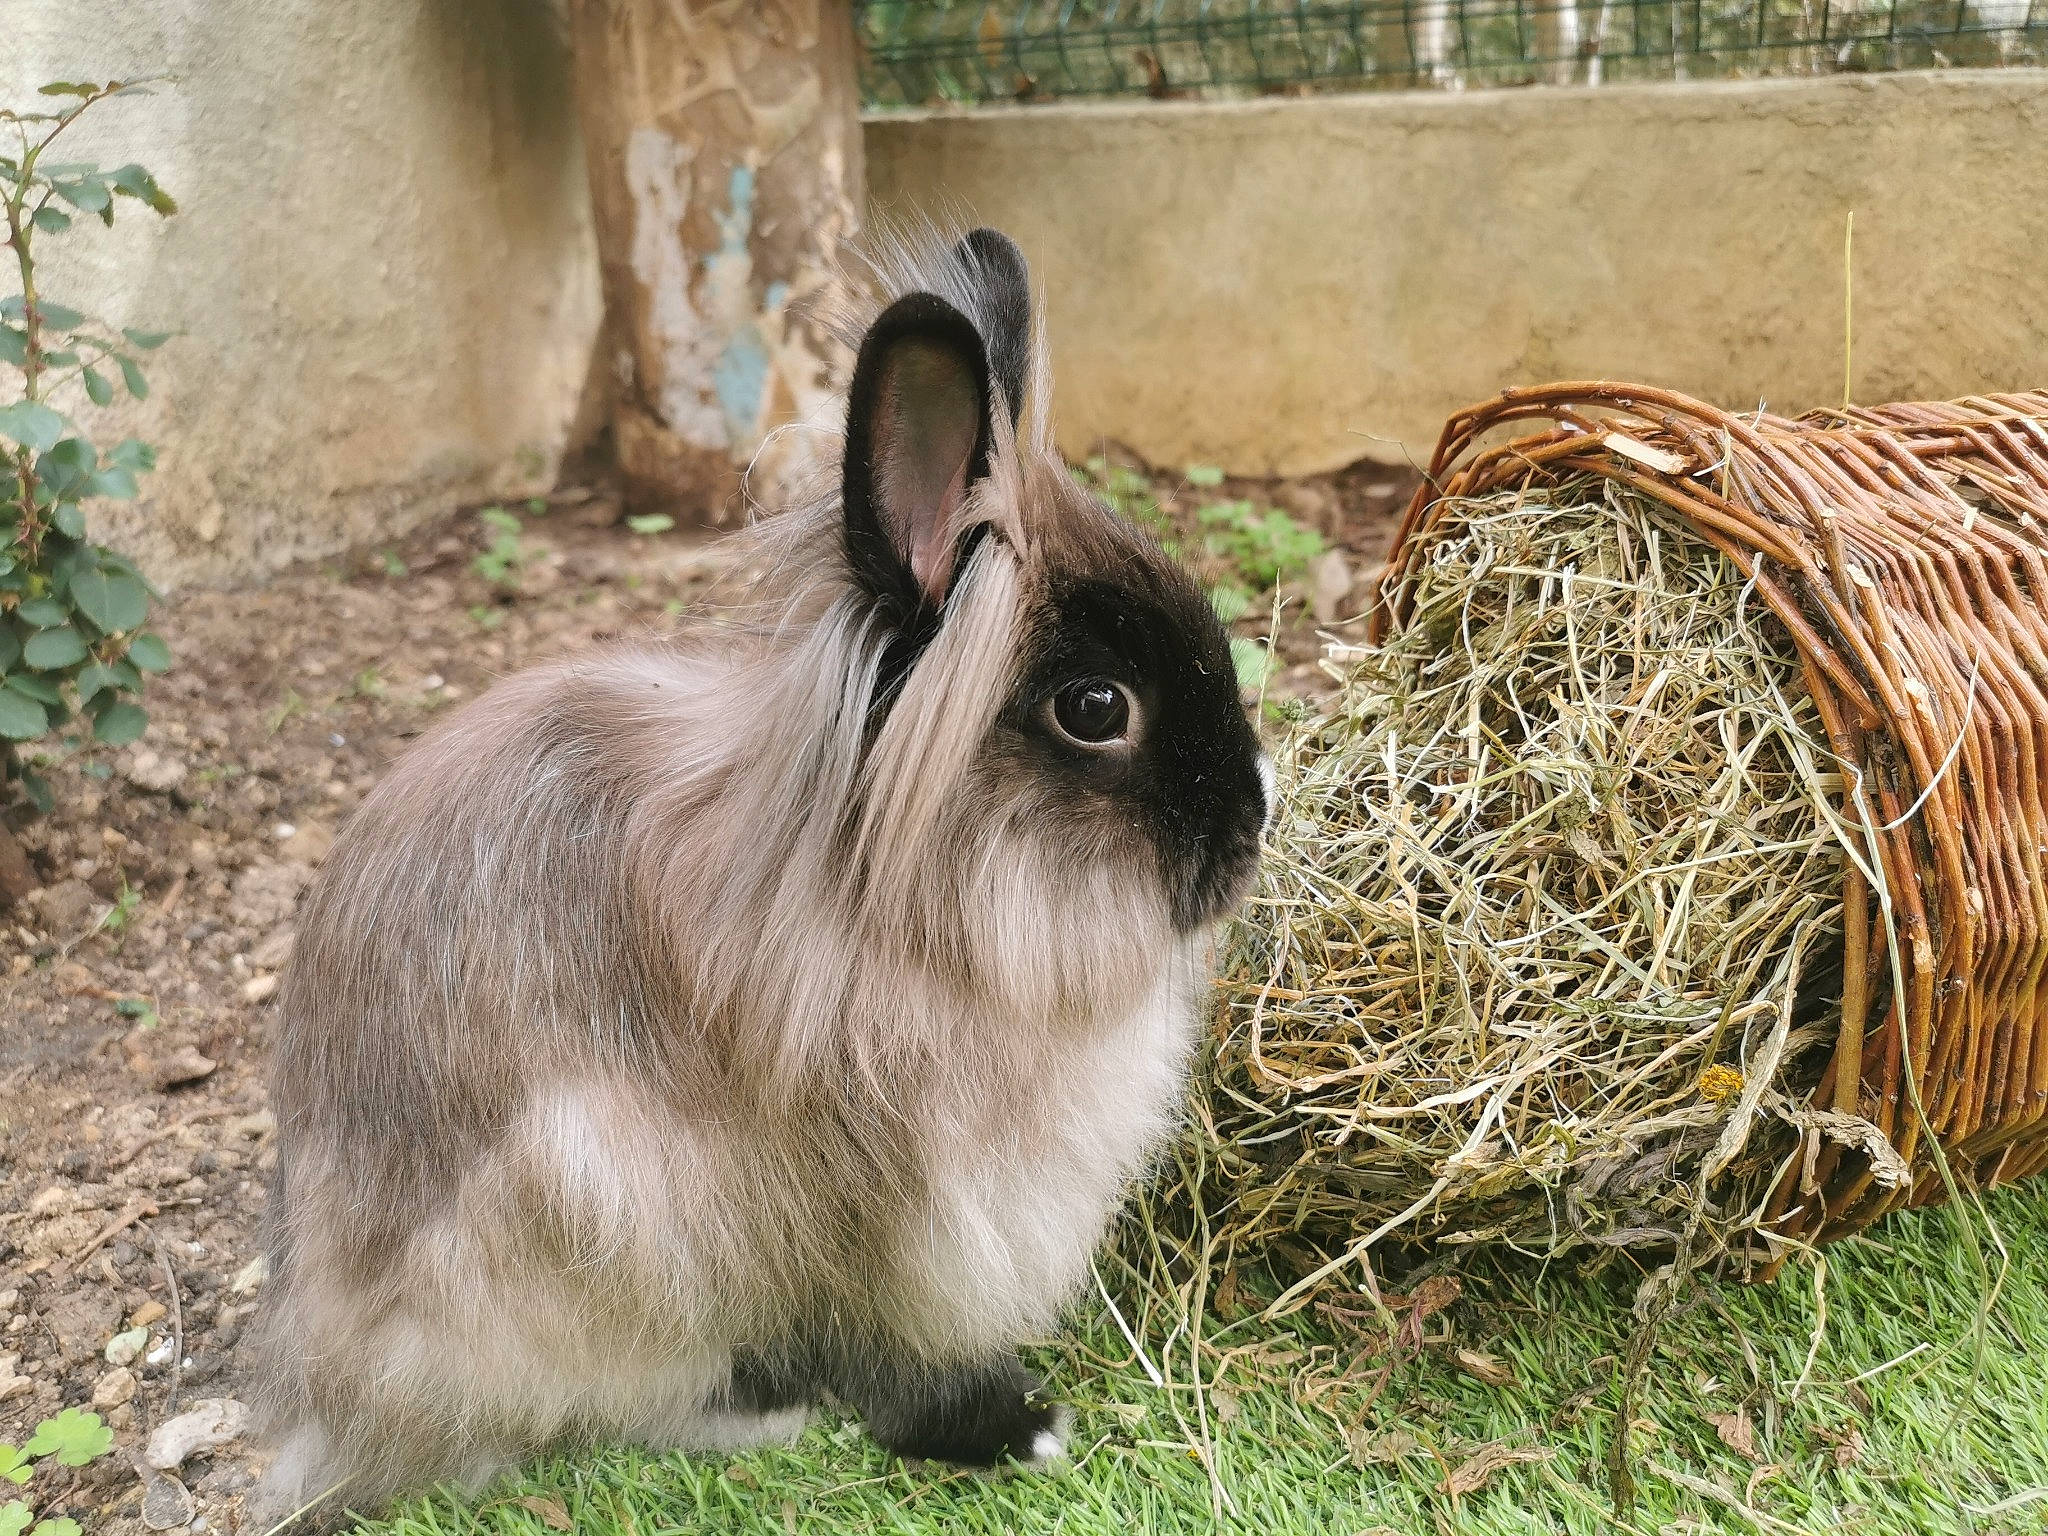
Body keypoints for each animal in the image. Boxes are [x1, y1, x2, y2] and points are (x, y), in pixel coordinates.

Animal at [247, 225, 1271, 1518]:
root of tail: (329, 1393)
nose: (1252, 824)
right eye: (1095, 710)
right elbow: (888, 1354)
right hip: (591, 1228)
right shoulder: (887, 1221)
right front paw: (1012, 1428)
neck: (892, 900)